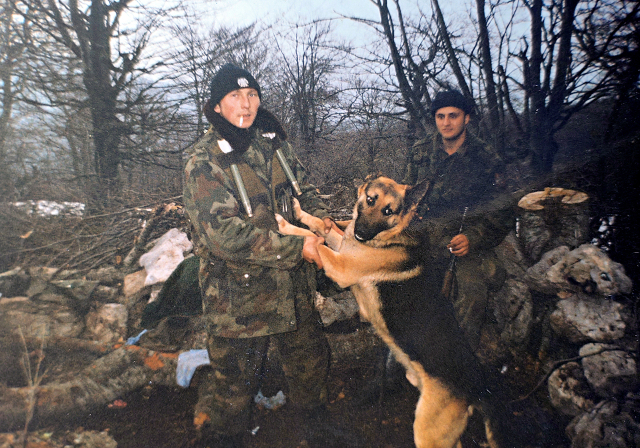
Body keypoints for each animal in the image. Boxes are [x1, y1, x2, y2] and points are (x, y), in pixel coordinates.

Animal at [278, 177, 508, 446]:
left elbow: (313, 240)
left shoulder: (341, 266)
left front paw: (283, 224)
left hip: (427, 432)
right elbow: (320, 227)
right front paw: (298, 211)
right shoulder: (343, 247)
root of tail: (478, 387)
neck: (389, 237)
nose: (361, 233)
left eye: (388, 211)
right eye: (370, 199)